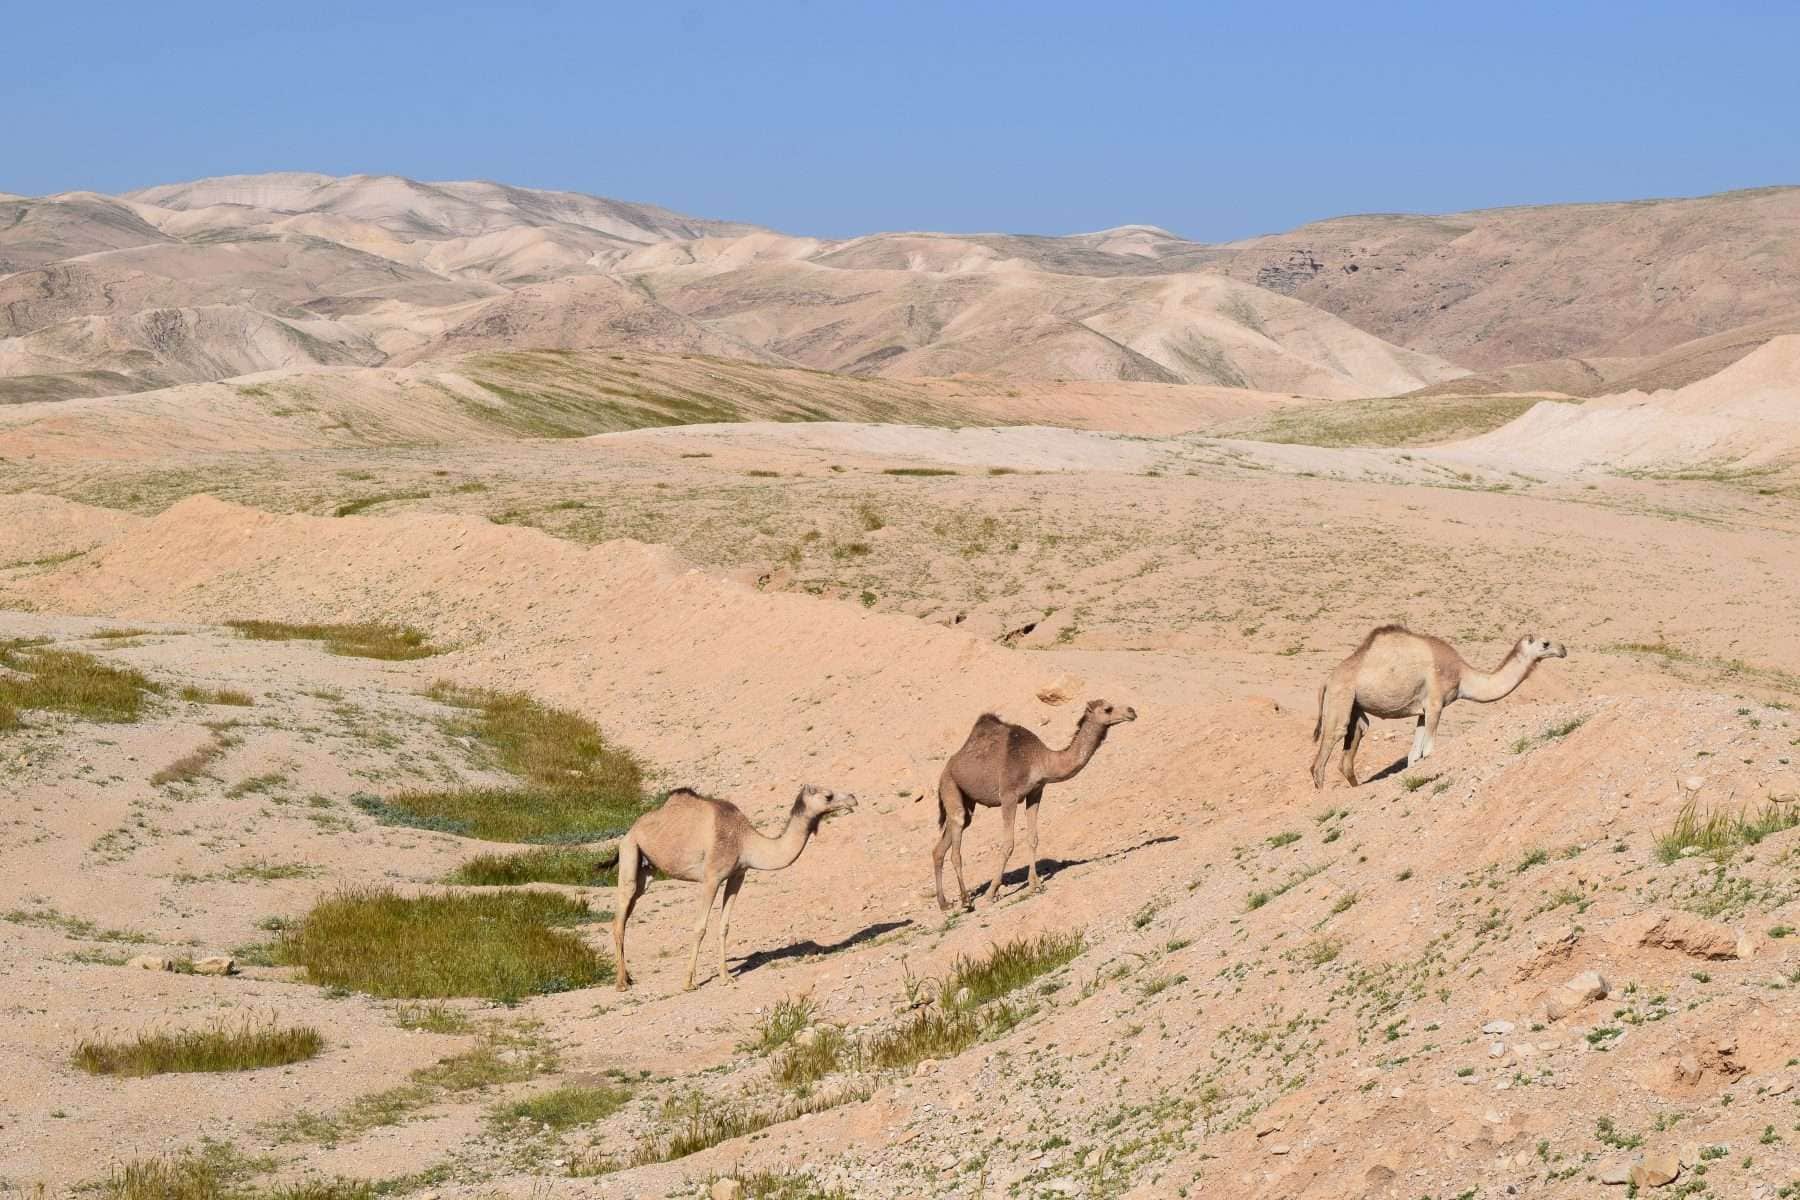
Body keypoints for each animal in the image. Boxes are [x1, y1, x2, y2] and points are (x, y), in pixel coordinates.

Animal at [612, 783, 858, 991]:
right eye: (828, 795)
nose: (853, 798)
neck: (745, 841)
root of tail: (631, 830)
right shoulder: (711, 877)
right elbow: (700, 927)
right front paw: (689, 982)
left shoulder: (738, 875)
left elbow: (724, 926)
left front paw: (725, 977)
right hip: (630, 851)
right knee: (619, 917)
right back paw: (621, 983)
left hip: (647, 871)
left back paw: (629, 977)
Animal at [932, 698, 1138, 912]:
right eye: (1107, 709)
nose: (1132, 711)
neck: (1040, 760)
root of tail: (946, 769)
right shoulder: (1009, 796)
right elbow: (1008, 844)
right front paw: (992, 892)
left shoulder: (1036, 792)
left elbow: (1033, 838)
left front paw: (1035, 884)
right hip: (950, 785)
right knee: (956, 838)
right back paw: (966, 900)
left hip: (967, 799)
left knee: (943, 844)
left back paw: (944, 903)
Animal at [1310, 626, 1567, 788]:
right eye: (1545, 643)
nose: (1563, 649)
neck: (1463, 676)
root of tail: (1326, 680)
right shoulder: (1436, 704)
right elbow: (1428, 752)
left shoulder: (1423, 711)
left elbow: (1414, 755)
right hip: (1340, 696)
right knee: (1323, 756)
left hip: (1355, 705)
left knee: (1355, 738)